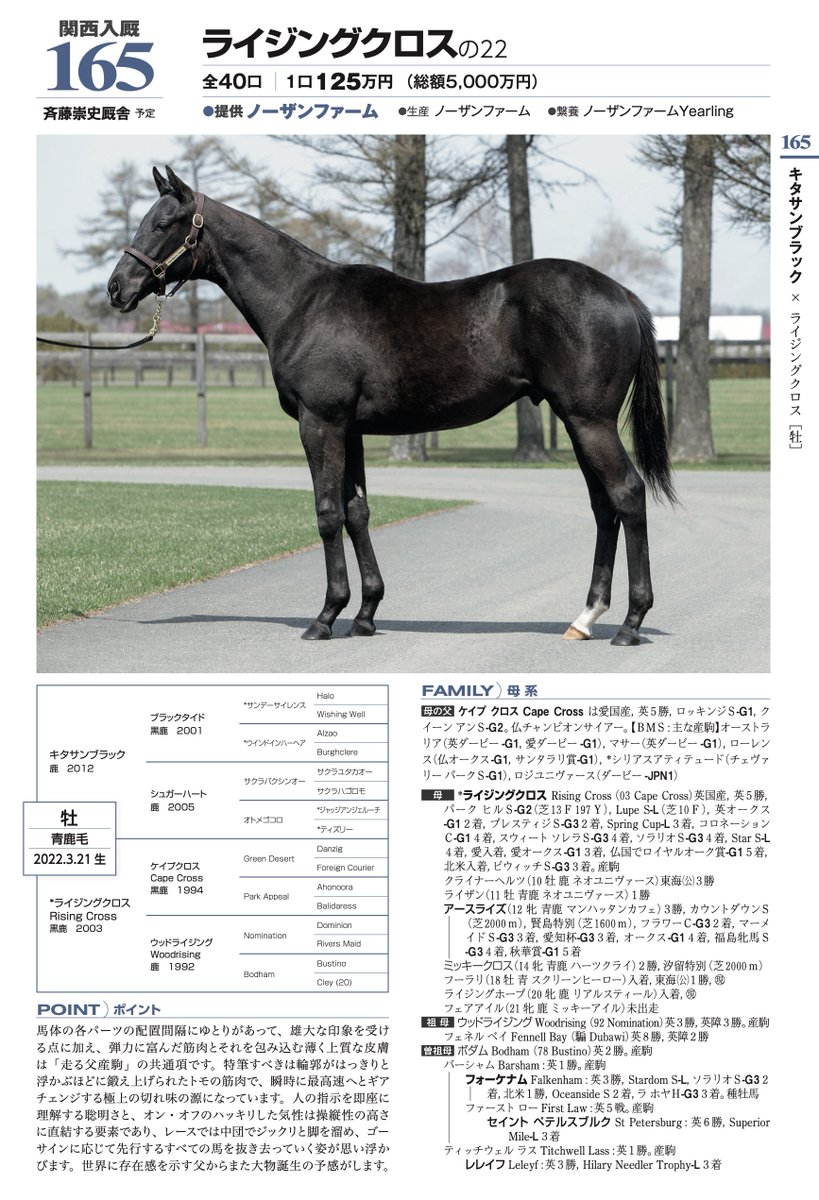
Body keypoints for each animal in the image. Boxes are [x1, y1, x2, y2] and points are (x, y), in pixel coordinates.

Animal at [107, 165, 676, 646]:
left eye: (164, 222)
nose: (117, 288)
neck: (302, 301)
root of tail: (623, 295)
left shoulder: (320, 423)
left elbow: (327, 512)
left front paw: (325, 617)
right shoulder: (351, 429)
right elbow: (357, 512)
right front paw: (364, 614)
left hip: (590, 421)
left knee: (627, 495)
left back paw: (631, 623)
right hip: (578, 422)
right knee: (604, 506)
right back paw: (585, 619)